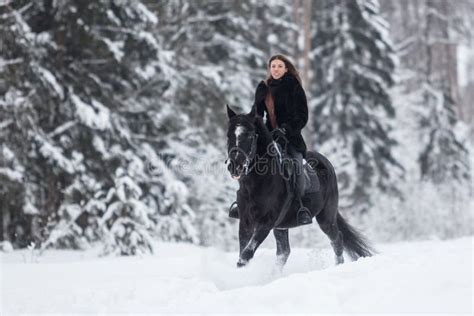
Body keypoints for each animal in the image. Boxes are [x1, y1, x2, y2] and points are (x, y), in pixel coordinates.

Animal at [226, 105, 374, 268]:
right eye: (228, 136)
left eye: (250, 136)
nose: (235, 167)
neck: (256, 184)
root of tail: (326, 163)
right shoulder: (245, 221)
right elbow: (244, 252)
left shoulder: (266, 222)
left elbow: (246, 255)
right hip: (282, 225)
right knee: (284, 252)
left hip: (326, 217)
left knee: (337, 241)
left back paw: (338, 266)